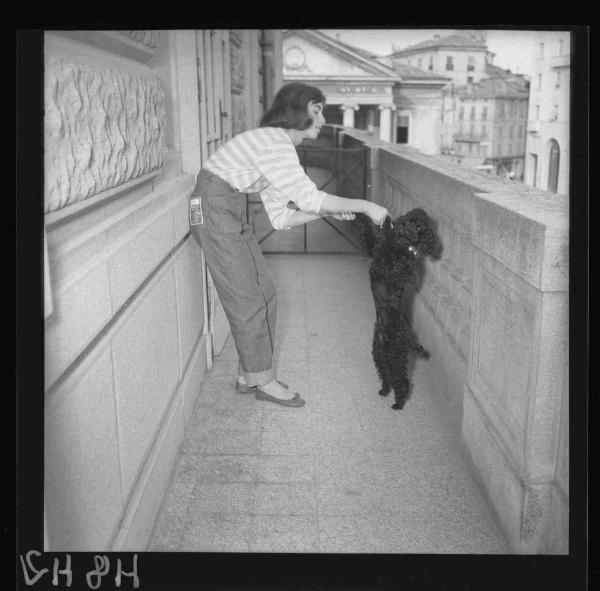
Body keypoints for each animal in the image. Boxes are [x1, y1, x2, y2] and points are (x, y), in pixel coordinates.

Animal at [354, 209, 442, 412]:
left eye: (419, 226)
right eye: (410, 218)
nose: (402, 225)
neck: (401, 247)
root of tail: (408, 338)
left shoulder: (393, 270)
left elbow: (387, 246)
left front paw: (386, 223)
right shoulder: (374, 250)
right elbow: (369, 234)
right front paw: (362, 214)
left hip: (396, 356)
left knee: (403, 382)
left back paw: (399, 403)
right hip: (380, 354)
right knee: (387, 375)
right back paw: (385, 391)